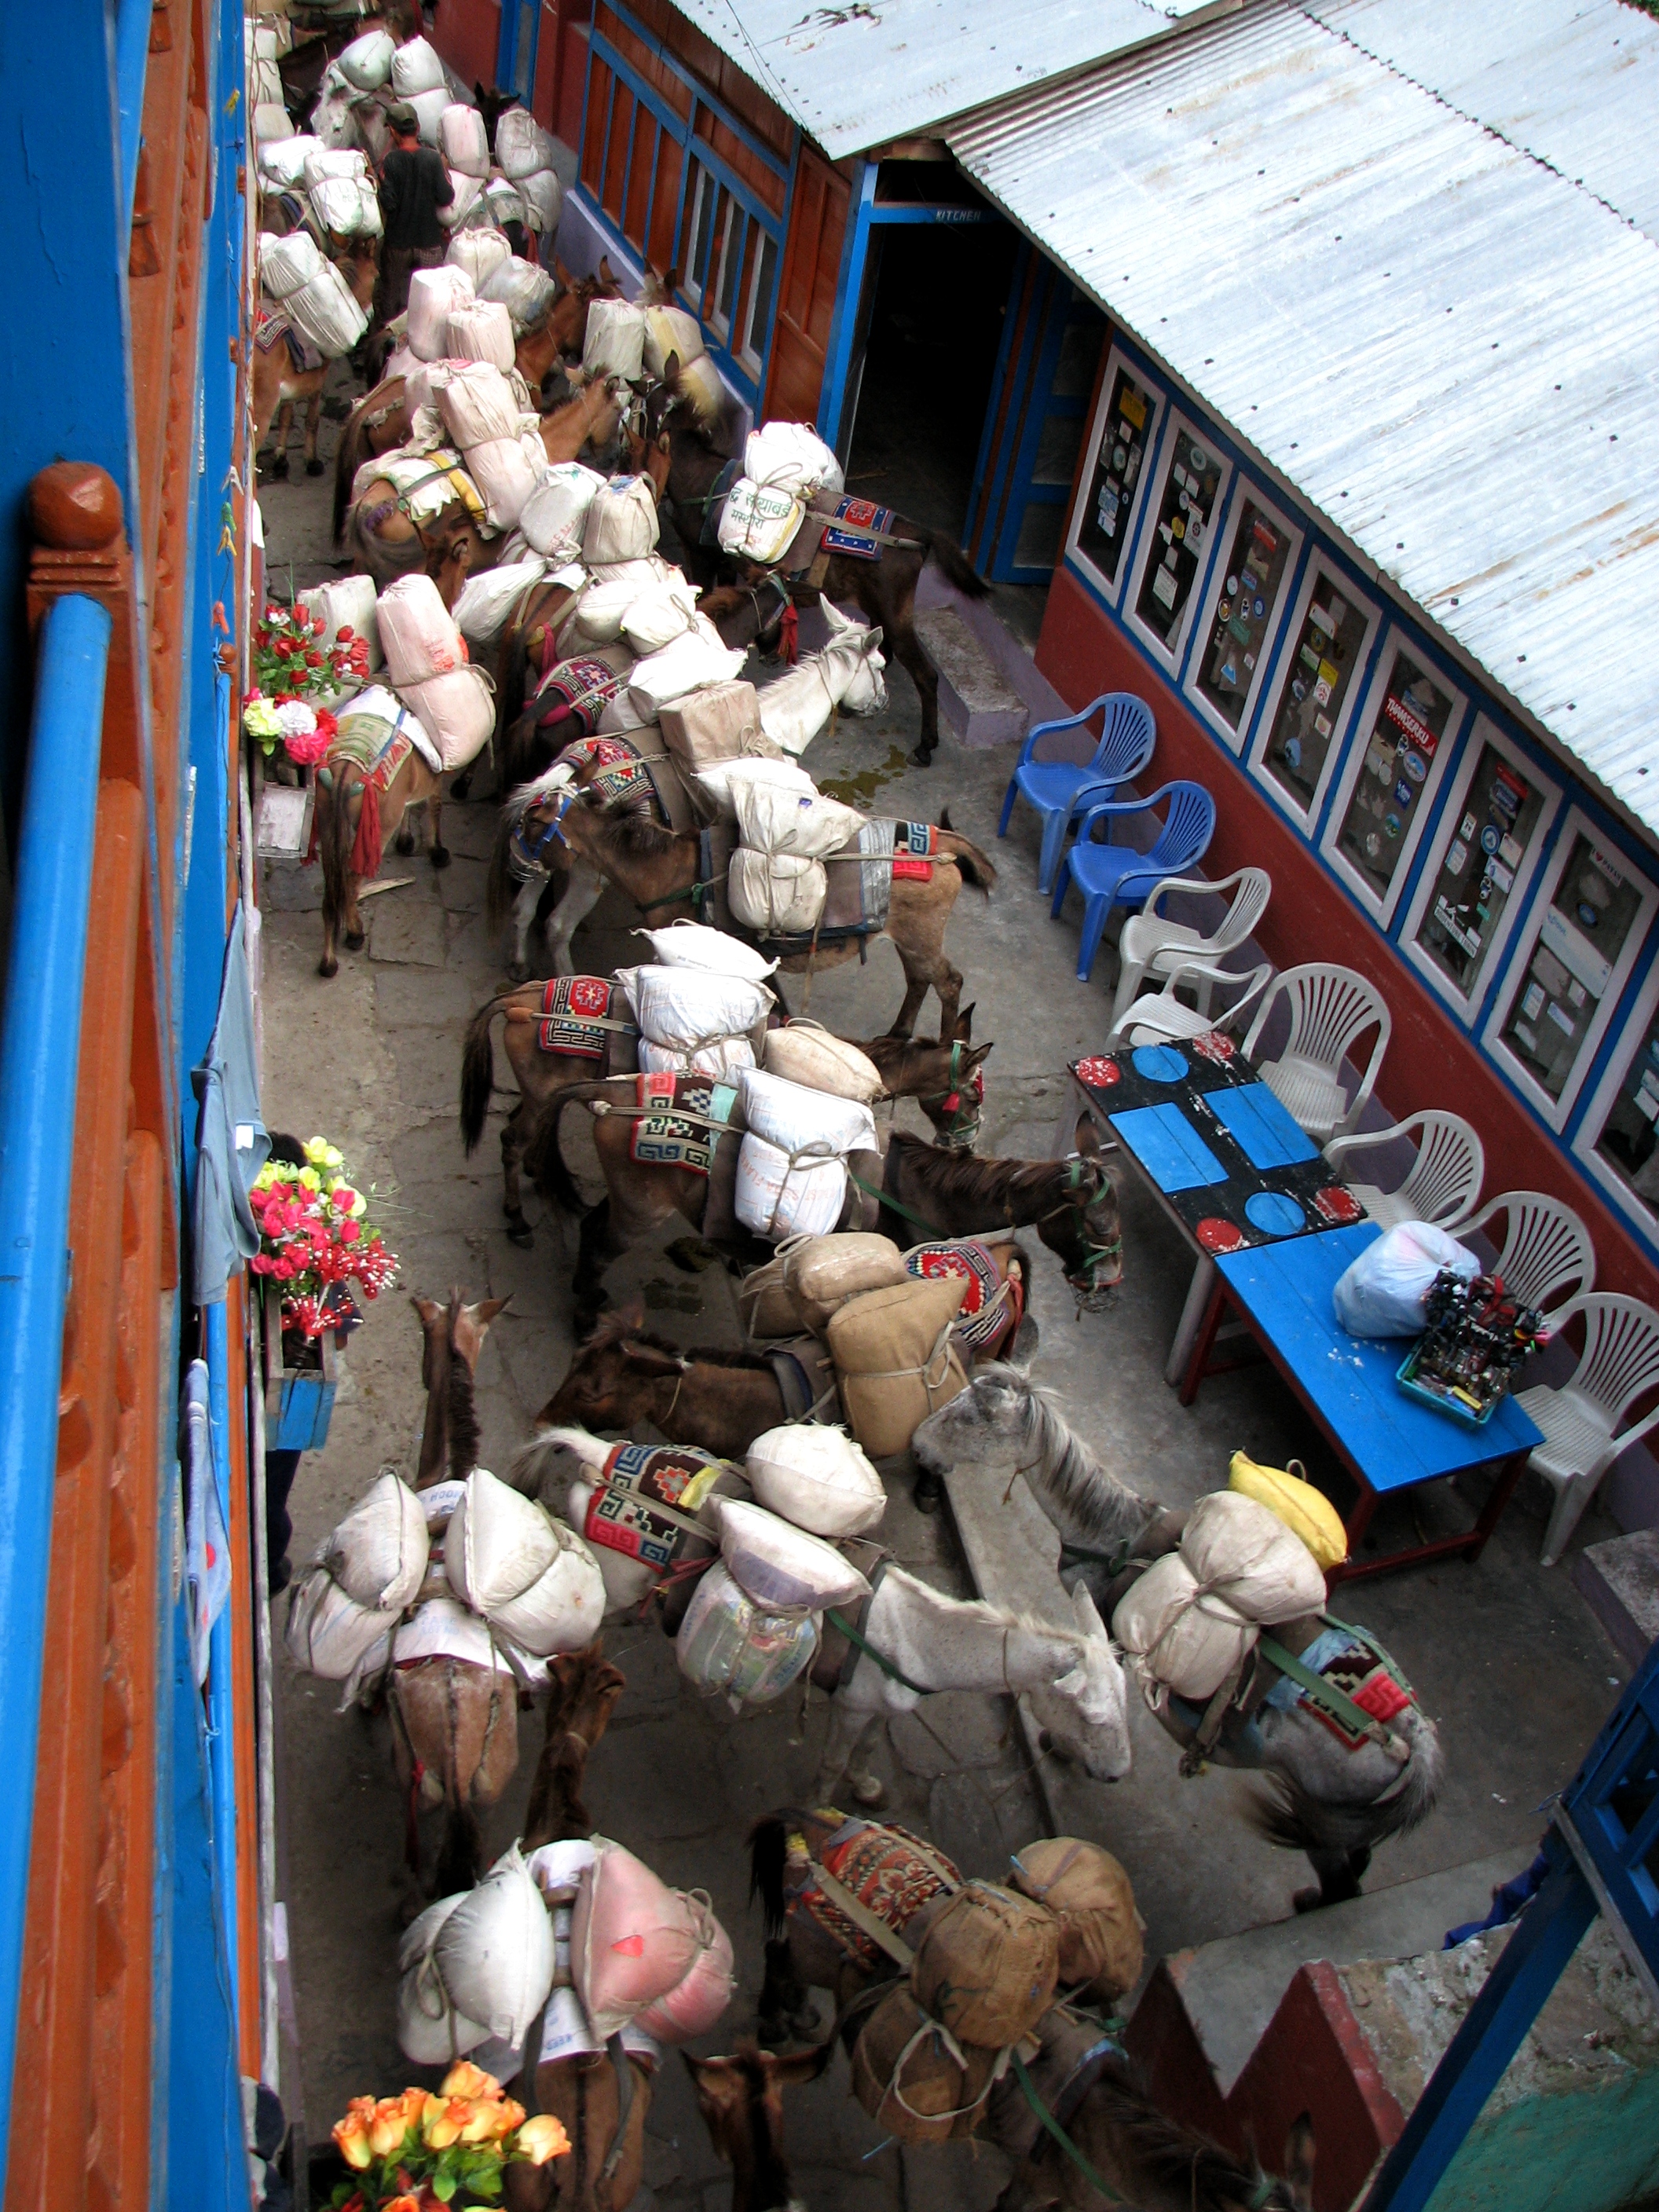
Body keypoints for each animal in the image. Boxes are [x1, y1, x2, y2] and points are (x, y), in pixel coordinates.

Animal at [254, 235, 381, 481]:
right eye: (377, 275)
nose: (371, 315)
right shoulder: (317, 382)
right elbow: (312, 419)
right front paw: (311, 461)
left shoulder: (293, 381)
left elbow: (286, 415)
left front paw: (281, 459)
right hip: (261, 406)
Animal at [458, 971, 992, 1243]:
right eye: (971, 1095)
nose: (967, 1145)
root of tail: (520, 998)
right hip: (540, 1089)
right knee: (512, 1138)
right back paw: (516, 1218)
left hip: (536, 1091)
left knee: (521, 1131)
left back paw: (535, 1178)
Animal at [486, 788, 995, 1034]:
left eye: (530, 825)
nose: (513, 866)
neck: (667, 869)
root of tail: (945, 844)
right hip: (911, 937)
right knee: (920, 979)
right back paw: (900, 1032)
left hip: (922, 937)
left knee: (948, 982)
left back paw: (945, 1043)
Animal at [647, 354, 990, 765]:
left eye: (641, 407)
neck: (703, 482)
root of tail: (917, 534)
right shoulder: (729, 564)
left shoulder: (698, 556)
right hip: (879, 607)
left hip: (897, 615)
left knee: (926, 675)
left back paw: (925, 745)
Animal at [911, 1365, 1444, 1909]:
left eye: (968, 1418)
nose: (917, 1447)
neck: (1114, 1537)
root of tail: (1415, 1741)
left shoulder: (1105, 1635)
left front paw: (1061, 1747)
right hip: (1345, 1825)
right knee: (1357, 1866)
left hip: (1324, 1819)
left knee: (1341, 1882)